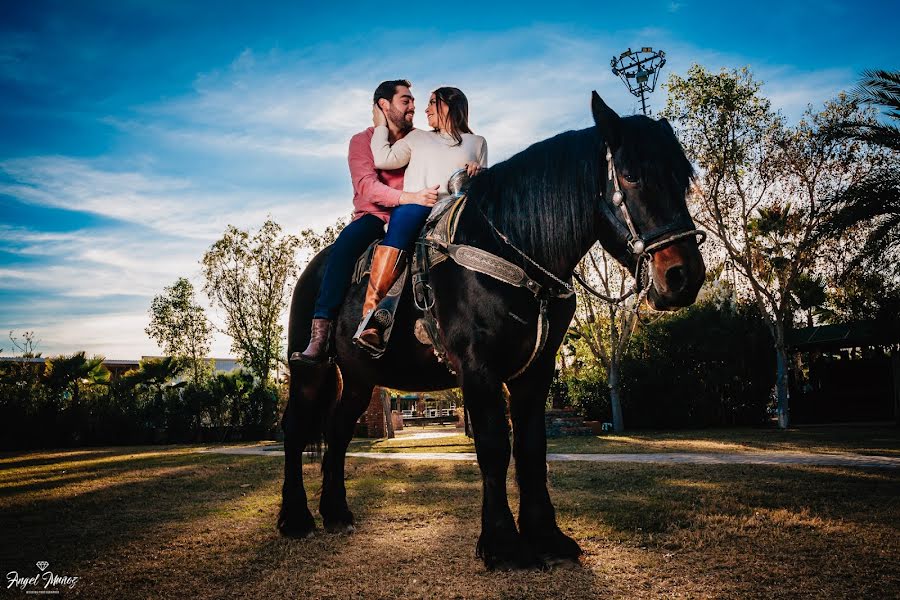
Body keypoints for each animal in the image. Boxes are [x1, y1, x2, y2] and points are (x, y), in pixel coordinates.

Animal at [278, 91, 708, 568]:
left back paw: (336, 512)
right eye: (630, 175)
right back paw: (295, 518)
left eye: (683, 177)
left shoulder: (535, 372)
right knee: (295, 430)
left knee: (337, 432)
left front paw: (546, 536)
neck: (512, 253)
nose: (683, 276)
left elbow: (531, 448)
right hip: (311, 371)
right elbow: (494, 446)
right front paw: (502, 543)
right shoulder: (478, 369)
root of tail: (314, 270)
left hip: (359, 378)